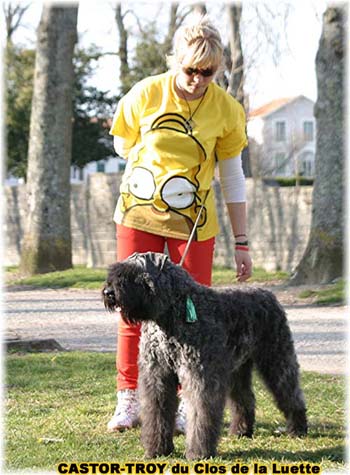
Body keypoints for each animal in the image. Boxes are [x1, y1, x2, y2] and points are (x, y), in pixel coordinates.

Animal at [102, 253, 308, 462]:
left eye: (133, 274)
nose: (109, 292)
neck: (171, 314)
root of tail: (269, 295)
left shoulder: (199, 378)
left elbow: (200, 416)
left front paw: (198, 453)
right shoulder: (157, 378)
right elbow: (157, 414)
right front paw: (157, 450)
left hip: (277, 360)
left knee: (290, 393)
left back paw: (297, 428)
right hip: (237, 370)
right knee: (244, 399)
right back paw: (241, 430)